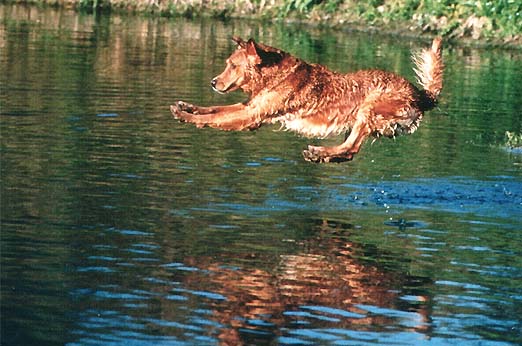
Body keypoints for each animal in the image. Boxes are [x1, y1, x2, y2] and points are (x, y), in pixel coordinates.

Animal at [169, 35, 440, 163]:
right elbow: (214, 108)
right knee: (349, 151)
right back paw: (321, 155)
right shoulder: (250, 106)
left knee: (351, 148)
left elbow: (214, 118)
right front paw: (187, 107)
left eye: (233, 66)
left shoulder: (250, 116)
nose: (213, 82)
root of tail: (421, 95)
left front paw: (185, 116)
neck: (275, 74)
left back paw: (318, 152)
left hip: (368, 108)